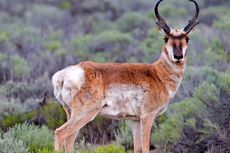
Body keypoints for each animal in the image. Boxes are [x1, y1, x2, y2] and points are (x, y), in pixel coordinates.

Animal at [52, 0, 199, 152]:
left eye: (187, 38)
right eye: (166, 38)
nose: (178, 56)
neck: (157, 74)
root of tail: (65, 74)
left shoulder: (135, 120)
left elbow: (137, 148)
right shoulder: (147, 116)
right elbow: (145, 148)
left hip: (71, 114)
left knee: (68, 141)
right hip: (84, 114)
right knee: (60, 133)